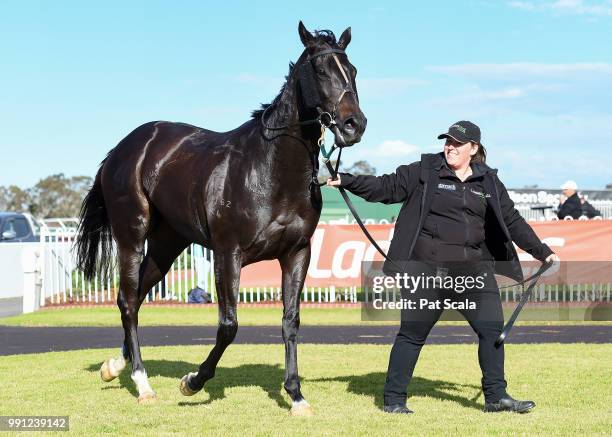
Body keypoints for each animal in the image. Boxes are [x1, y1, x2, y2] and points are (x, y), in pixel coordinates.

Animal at [75, 21, 364, 416]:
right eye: (320, 70)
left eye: (353, 70)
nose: (354, 125)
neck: (270, 171)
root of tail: (122, 148)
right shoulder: (228, 254)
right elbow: (228, 326)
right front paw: (192, 381)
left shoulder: (297, 253)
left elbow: (290, 321)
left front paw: (296, 395)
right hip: (131, 236)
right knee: (128, 300)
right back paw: (142, 382)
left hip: (167, 244)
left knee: (137, 296)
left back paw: (114, 366)